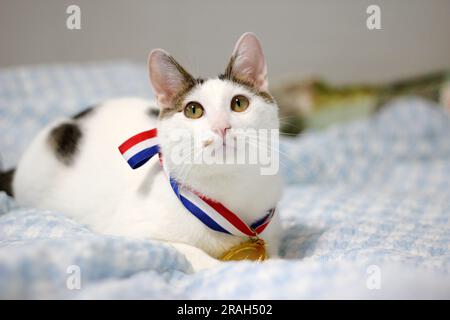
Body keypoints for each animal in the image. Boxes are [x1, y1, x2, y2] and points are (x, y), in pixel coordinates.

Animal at [0, 31, 282, 270]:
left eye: (239, 103)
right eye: (193, 110)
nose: (221, 126)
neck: (229, 191)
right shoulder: (129, 233)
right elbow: (189, 251)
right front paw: (223, 266)